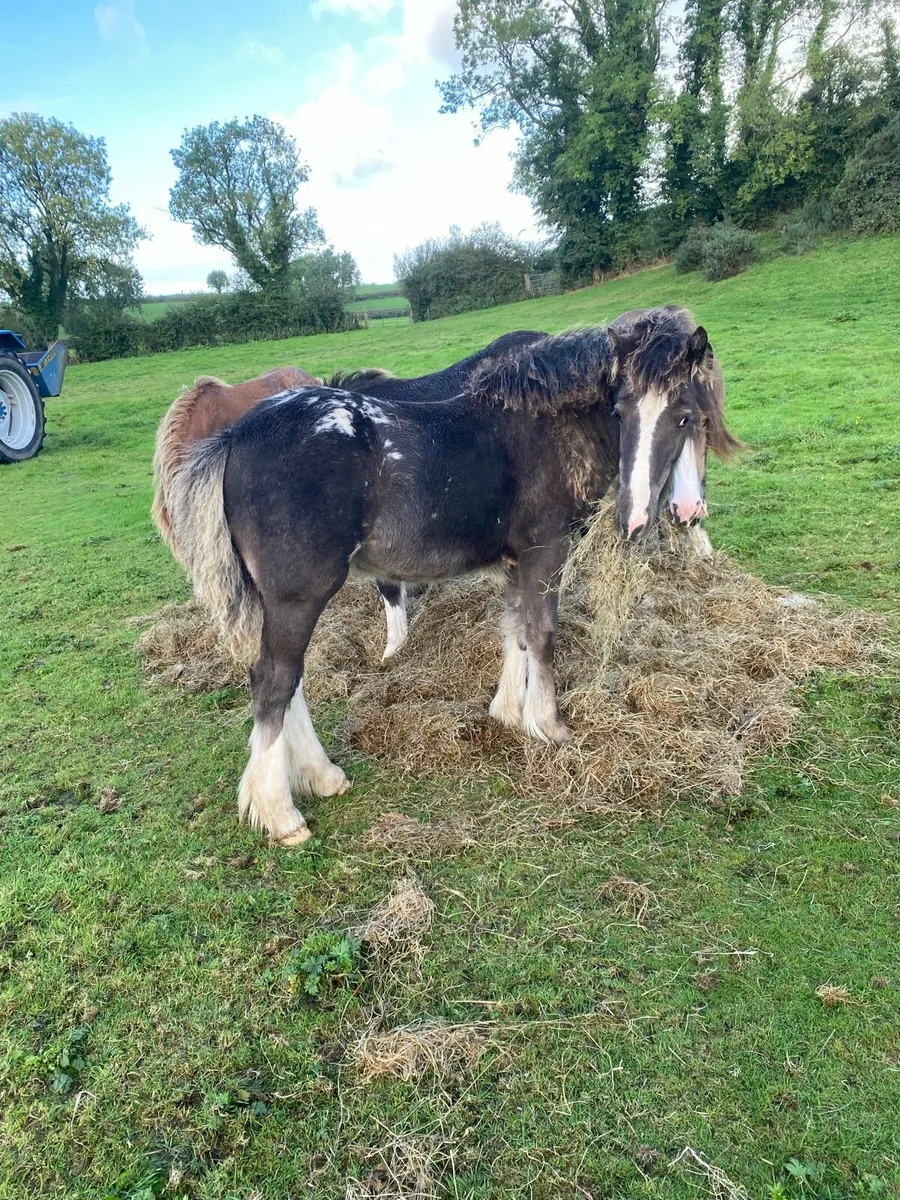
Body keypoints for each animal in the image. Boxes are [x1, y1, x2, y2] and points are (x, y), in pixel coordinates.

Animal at [167, 307, 739, 846]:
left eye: (687, 416)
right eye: (620, 411)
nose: (640, 518)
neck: (545, 426)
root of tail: (235, 437)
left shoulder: (515, 560)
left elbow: (515, 629)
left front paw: (508, 713)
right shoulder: (545, 551)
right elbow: (542, 632)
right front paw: (549, 726)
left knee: (290, 680)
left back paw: (321, 776)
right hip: (297, 595)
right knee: (274, 682)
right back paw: (281, 814)